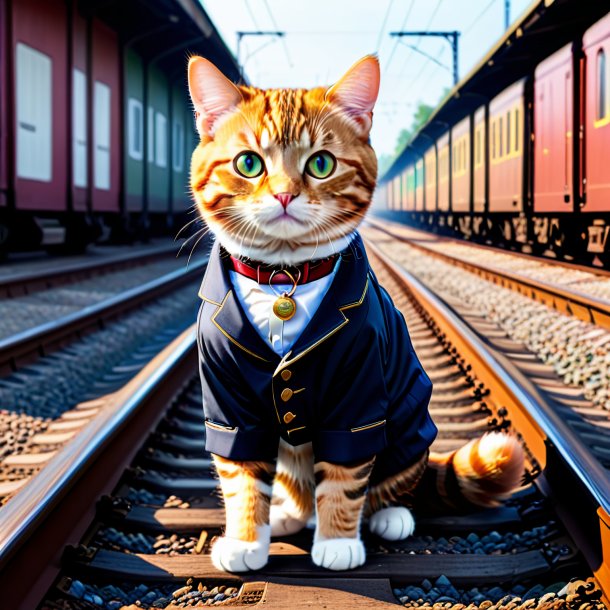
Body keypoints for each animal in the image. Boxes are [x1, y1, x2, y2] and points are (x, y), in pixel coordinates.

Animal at [186, 52, 524, 568]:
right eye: (248, 163)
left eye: (321, 164)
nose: (284, 194)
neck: (284, 279)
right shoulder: (227, 399)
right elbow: (242, 474)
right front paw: (246, 540)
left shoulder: (361, 390)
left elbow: (345, 474)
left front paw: (337, 542)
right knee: (293, 482)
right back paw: (288, 514)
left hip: (409, 419)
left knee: (397, 479)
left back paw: (389, 515)